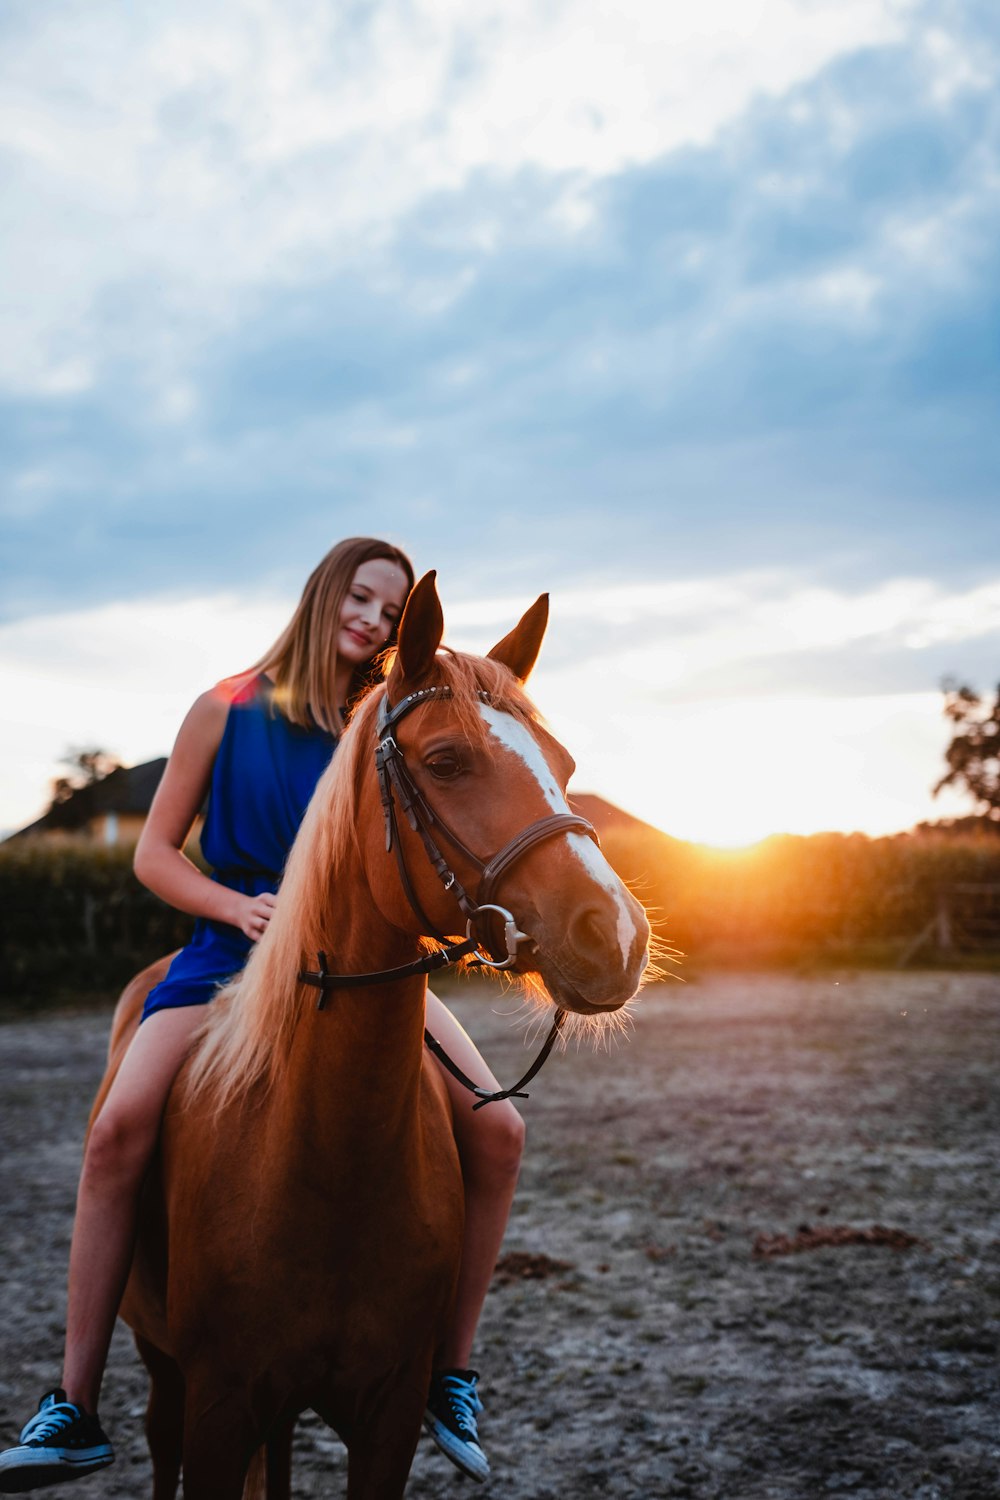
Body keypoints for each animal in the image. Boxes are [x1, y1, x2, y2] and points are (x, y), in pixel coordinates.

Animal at [95, 567, 650, 1494]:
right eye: (447, 760)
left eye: (565, 765)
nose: (614, 935)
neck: (325, 1157)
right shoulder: (217, 1406)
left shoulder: (386, 1417)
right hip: (163, 1369)